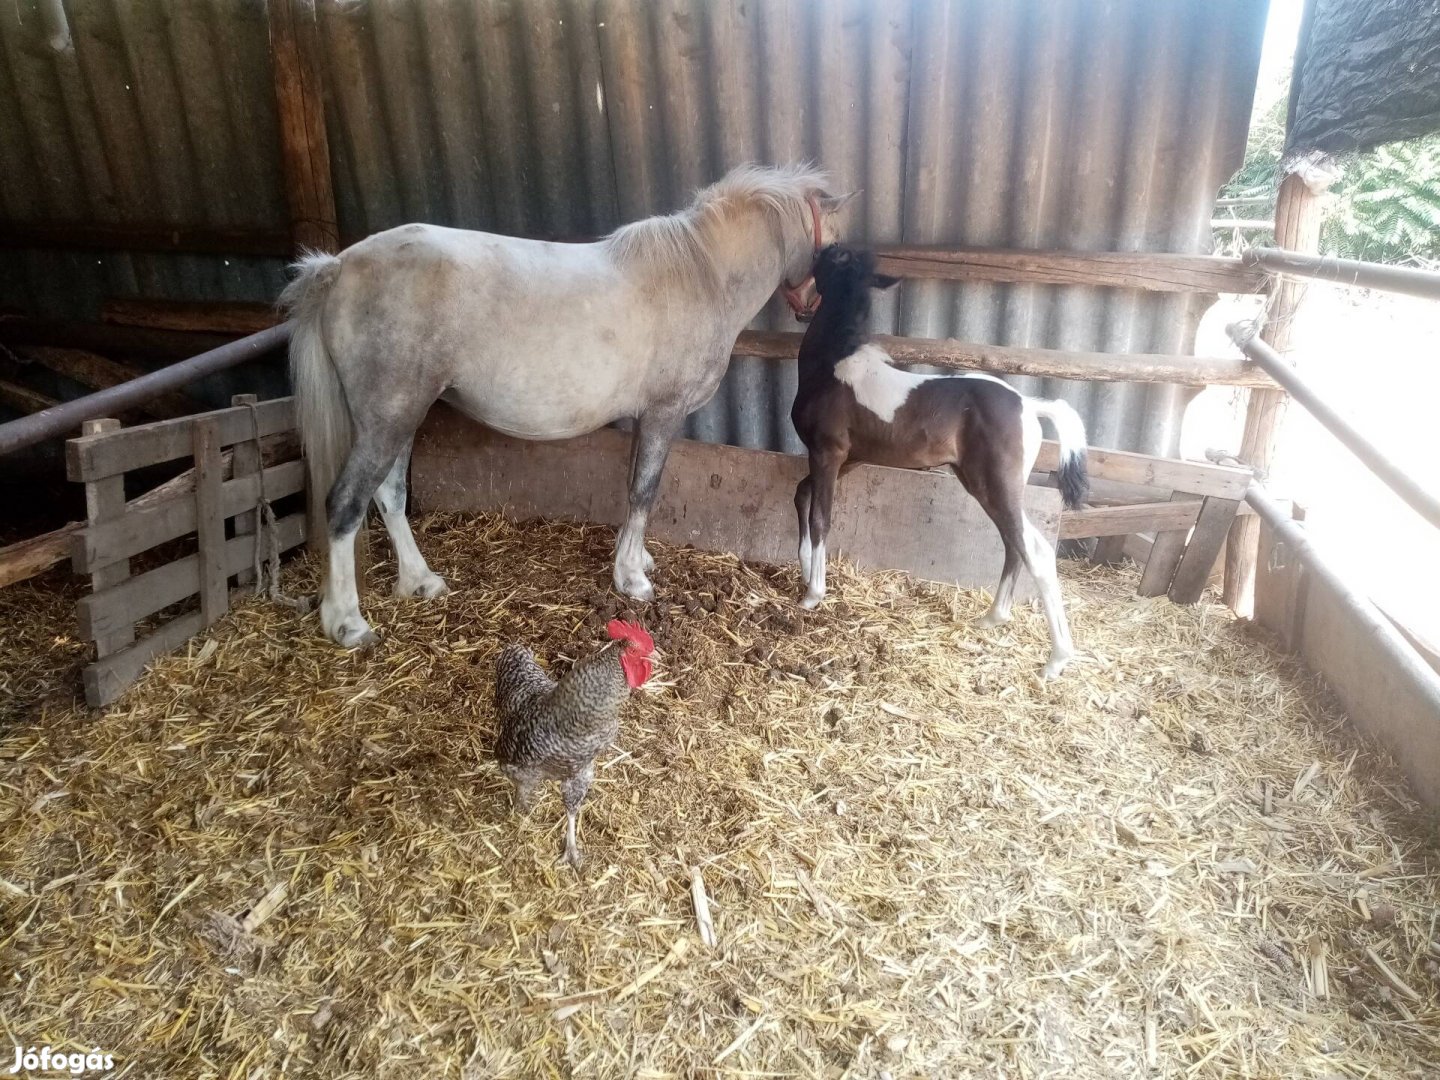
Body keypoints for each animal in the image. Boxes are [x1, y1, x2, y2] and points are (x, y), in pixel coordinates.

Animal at [794, 249, 1082, 679]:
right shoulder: (847, 459)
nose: (816, 251)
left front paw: (813, 593)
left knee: (1035, 551)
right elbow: (801, 494)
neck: (832, 366)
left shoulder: (827, 453)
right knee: (1015, 543)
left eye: (835, 257)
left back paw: (1055, 660)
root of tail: (1028, 406)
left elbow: (821, 518)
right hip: (984, 485)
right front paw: (802, 565)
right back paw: (992, 618)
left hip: (997, 486)